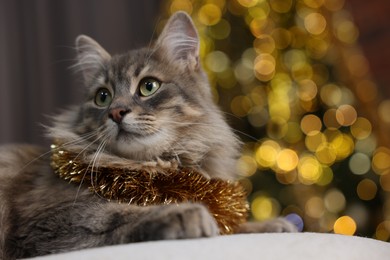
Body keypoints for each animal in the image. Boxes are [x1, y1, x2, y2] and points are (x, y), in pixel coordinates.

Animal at [0, 11, 296, 258]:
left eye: (148, 86)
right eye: (102, 97)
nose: (116, 112)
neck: (151, 169)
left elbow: (230, 224)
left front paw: (271, 224)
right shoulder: (53, 218)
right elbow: (122, 214)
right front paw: (182, 213)